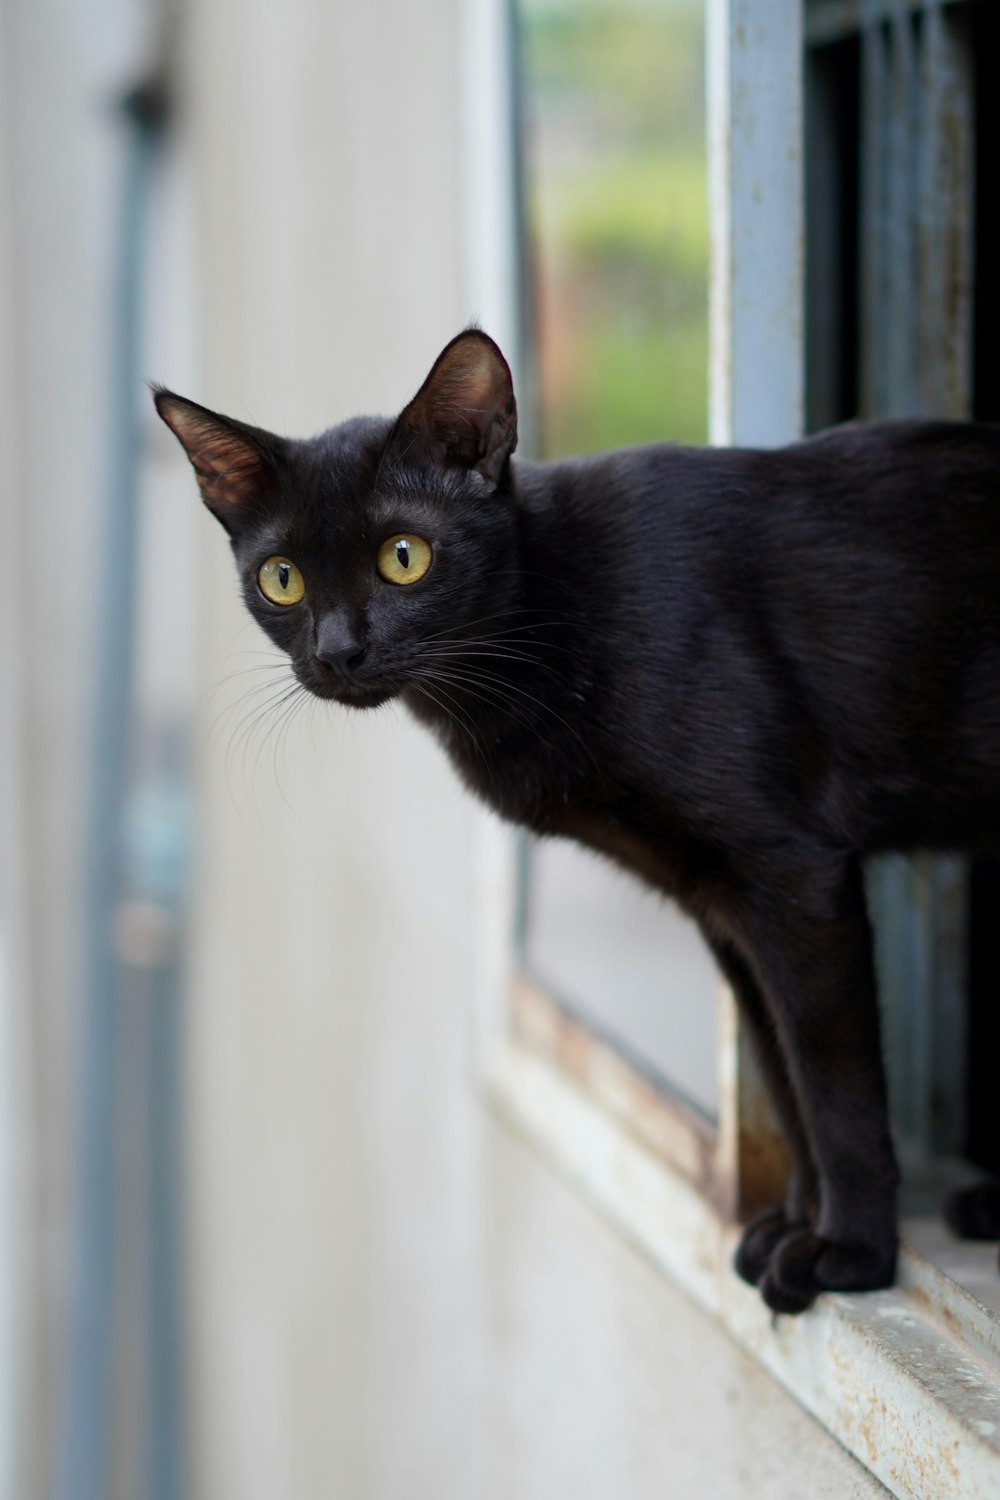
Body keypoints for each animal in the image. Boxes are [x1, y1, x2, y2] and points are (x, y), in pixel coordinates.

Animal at [154, 331, 1000, 1314]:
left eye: (405, 557)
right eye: (281, 580)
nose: (337, 652)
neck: (546, 625)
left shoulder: (795, 873)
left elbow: (833, 1079)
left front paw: (852, 1254)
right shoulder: (723, 900)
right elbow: (779, 1070)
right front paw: (795, 1222)